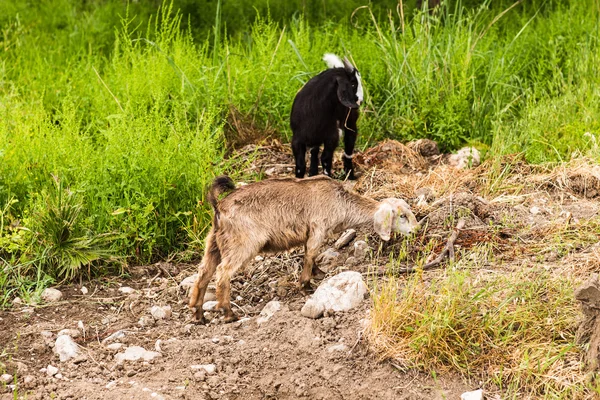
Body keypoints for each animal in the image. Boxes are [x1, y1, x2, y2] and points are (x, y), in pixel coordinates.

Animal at [189, 177, 418, 324]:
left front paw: (318, 273)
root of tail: (219, 206)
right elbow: (310, 255)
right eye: (402, 215)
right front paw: (306, 285)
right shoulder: (317, 229)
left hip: (214, 244)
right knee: (222, 274)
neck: (340, 201)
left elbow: (311, 255)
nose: (416, 230)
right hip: (242, 244)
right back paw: (228, 313)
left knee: (203, 274)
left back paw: (199, 315)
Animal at [290, 52, 364, 180]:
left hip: (348, 122)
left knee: (348, 146)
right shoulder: (297, 139)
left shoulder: (332, 136)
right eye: (353, 83)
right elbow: (301, 164)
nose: (360, 101)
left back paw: (349, 175)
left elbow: (324, 158)